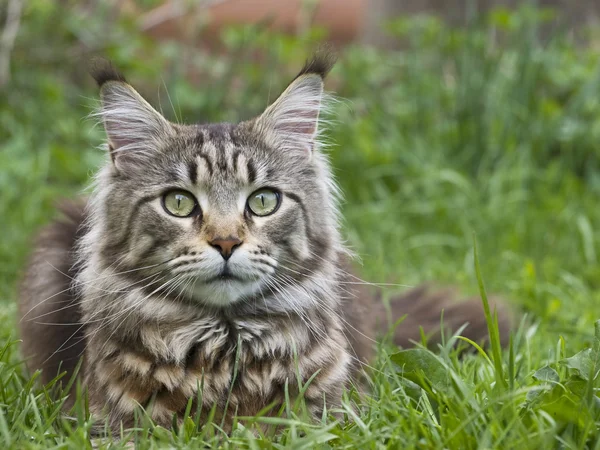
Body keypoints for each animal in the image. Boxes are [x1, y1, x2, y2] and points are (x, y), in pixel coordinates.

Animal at [18, 51, 510, 432]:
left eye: (263, 201)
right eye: (178, 203)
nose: (226, 242)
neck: (223, 345)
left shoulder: (337, 414)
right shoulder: (108, 421)